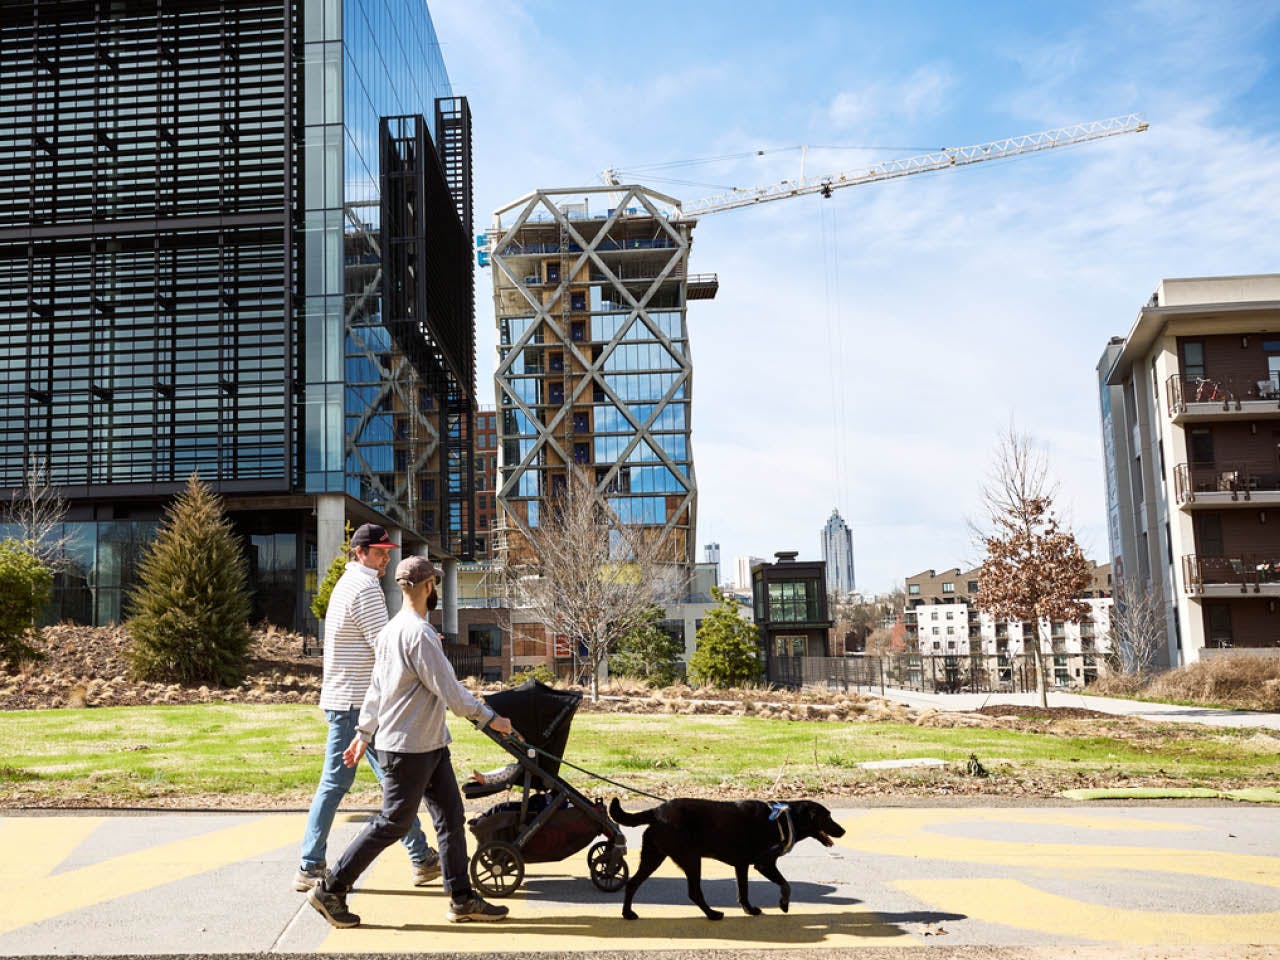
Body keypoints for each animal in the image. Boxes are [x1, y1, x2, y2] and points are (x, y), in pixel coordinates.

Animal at [611, 798, 849, 926]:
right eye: (827, 816)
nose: (843, 831)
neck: (784, 819)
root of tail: (656, 811)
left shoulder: (741, 865)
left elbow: (743, 891)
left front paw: (749, 909)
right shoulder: (764, 863)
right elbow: (786, 884)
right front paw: (783, 904)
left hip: (653, 856)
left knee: (632, 883)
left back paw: (627, 914)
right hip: (690, 858)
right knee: (694, 892)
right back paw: (712, 914)